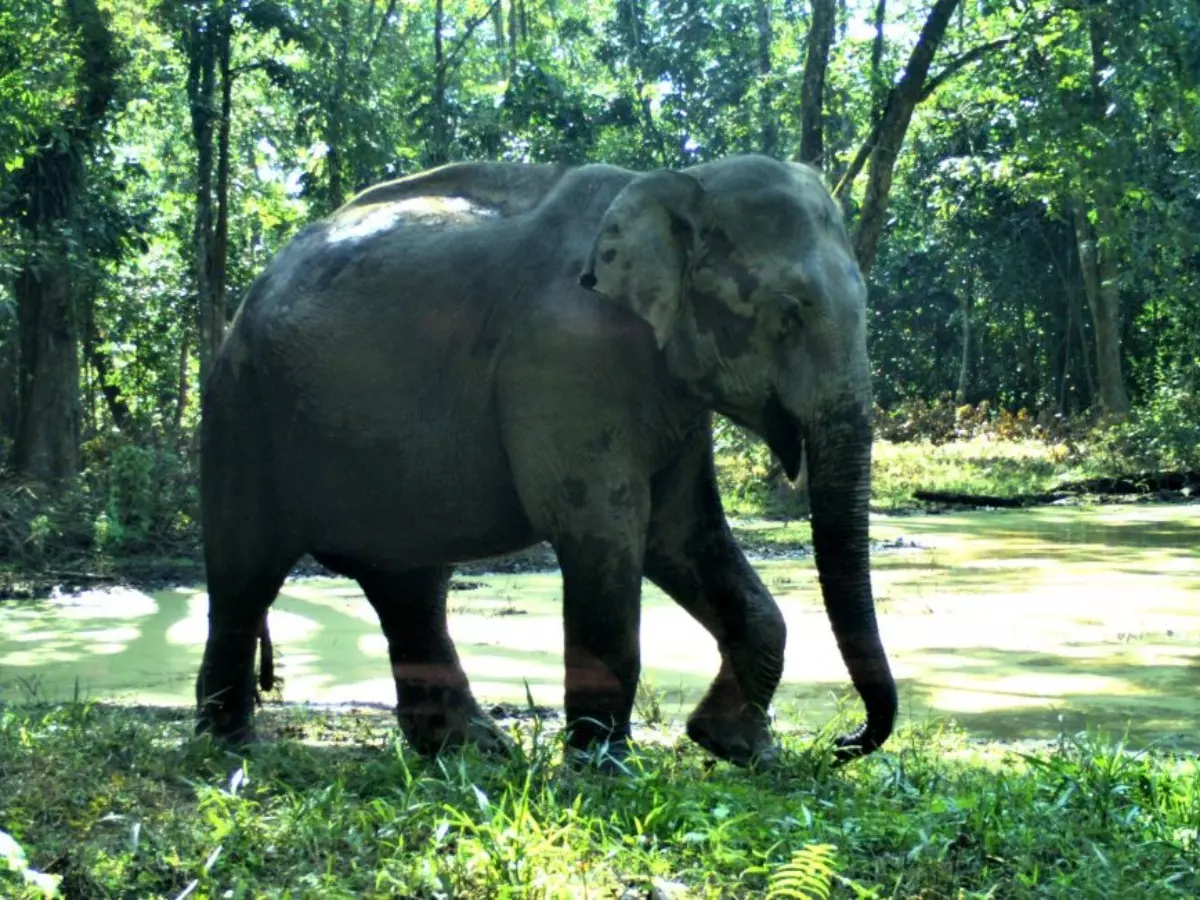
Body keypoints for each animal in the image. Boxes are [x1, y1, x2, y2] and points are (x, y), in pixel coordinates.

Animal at [194, 153, 898, 767]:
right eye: (790, 315)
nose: (844, 745)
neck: (671, 181)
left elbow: (682, 534)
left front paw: (737, 749)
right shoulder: (566, 359)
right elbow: (605, 532)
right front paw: (606, 769)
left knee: (409, 586)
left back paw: (468, 750)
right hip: (240, 410)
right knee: (244, 573)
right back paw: (230, 747)